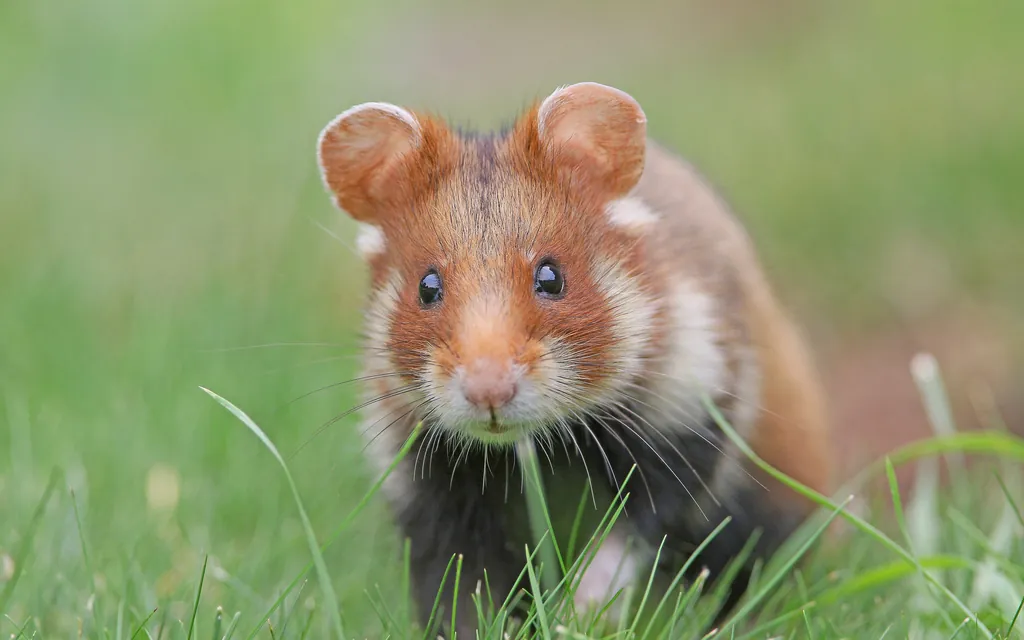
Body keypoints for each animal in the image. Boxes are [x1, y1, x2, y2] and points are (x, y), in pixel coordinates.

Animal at [316, 82, 832, 636]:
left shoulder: (686, 429)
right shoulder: (429, 485)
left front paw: (576, 616)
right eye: (427, 286)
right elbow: (460, 589)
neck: (538, 452)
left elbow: (625, 543)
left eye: (551, 276)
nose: (488, 392)